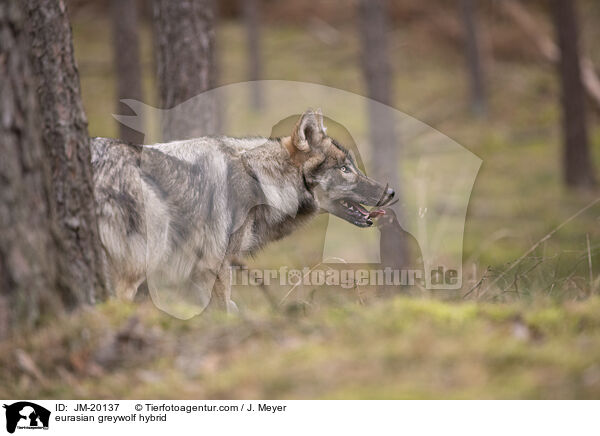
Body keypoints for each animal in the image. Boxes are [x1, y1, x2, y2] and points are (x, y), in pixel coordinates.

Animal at [91, 109, 396, 314]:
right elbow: (224, 309)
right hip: (136, 267)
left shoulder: (194, 275)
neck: (260, 179)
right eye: (345, 169)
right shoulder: (216, 267)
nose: (391, 193)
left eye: (352, 166)